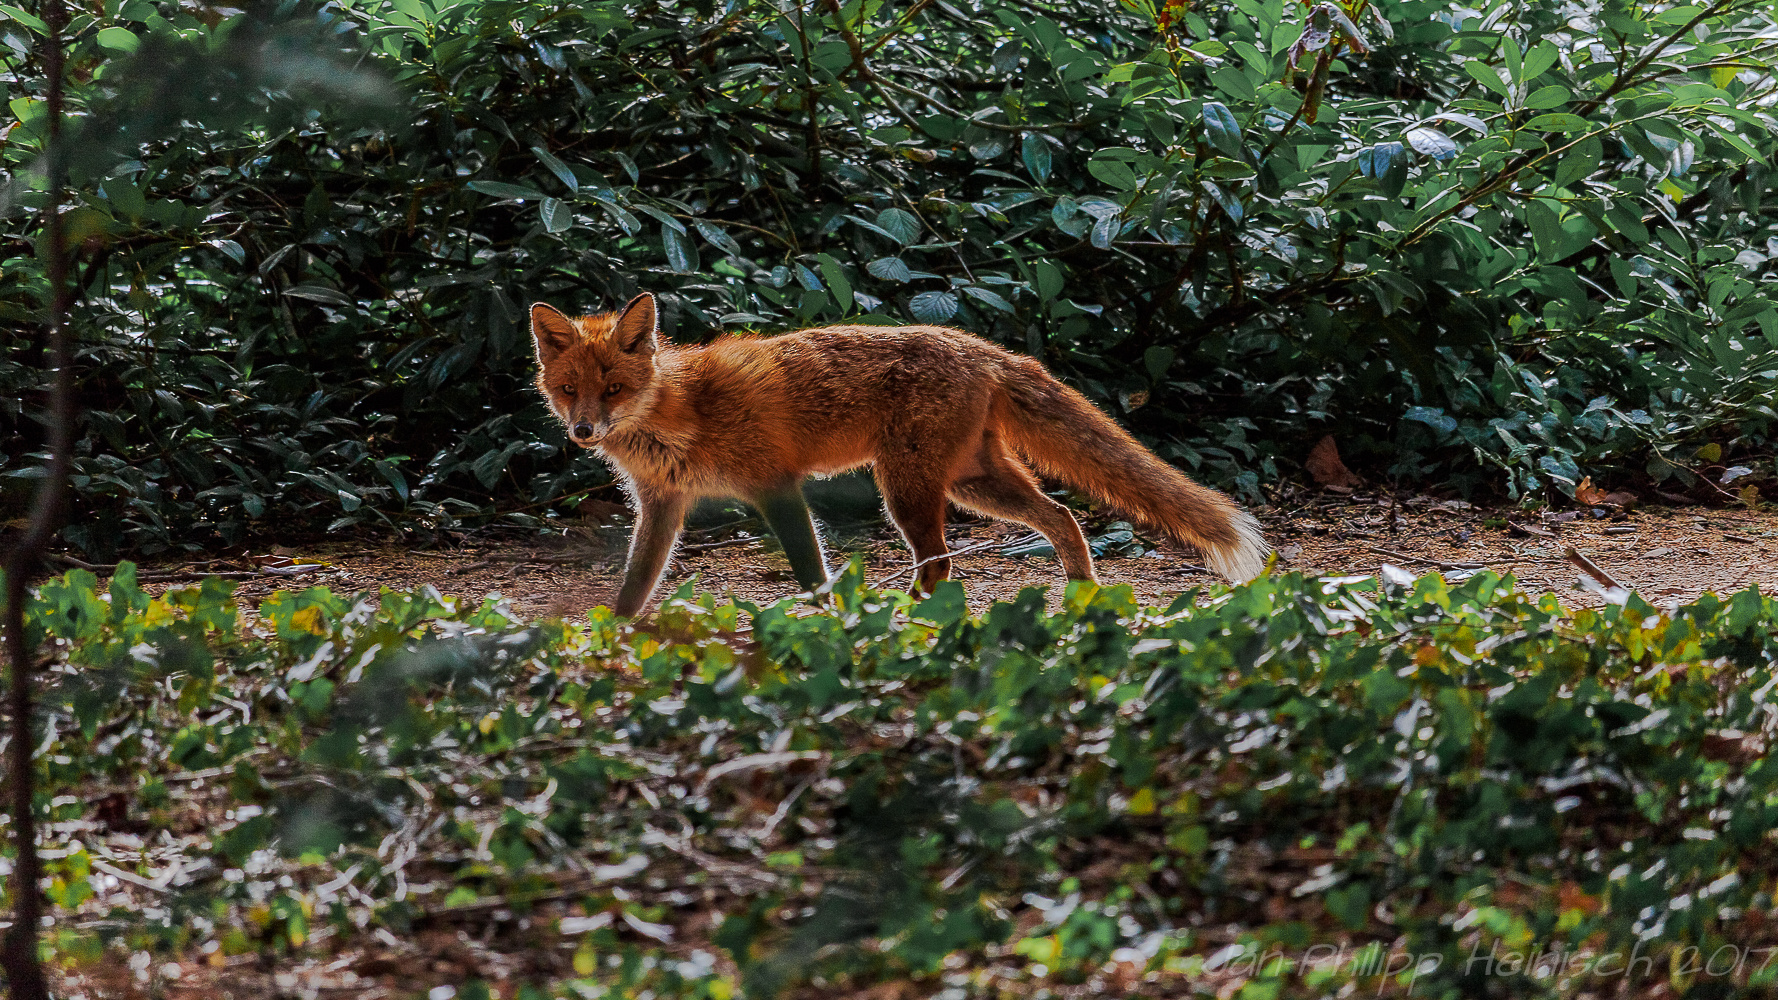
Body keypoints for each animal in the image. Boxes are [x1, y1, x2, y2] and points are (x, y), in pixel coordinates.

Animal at [526, 290, 1265, 615]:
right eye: (569, 390)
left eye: (614, 389)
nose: (584, 432)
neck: (681, 415)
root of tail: (980, 347)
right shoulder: (663, 505)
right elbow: (633, 586)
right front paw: (609, 635)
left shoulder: (775, 485)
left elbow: (810, 571)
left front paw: (829, 622)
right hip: (970, 483)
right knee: (1061, 517)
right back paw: (1081, 590)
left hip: (907, 489)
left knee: (943, 565)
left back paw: (906, 618)